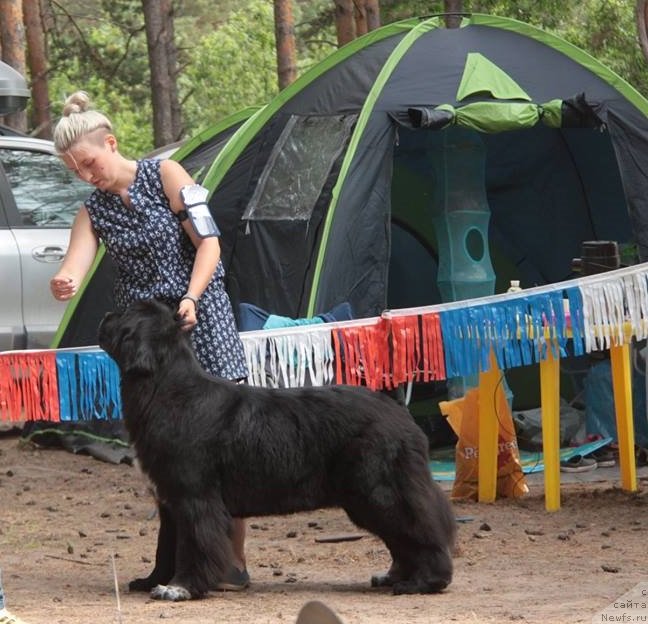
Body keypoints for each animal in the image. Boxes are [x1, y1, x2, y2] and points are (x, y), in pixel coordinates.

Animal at [100, 300, 456, 604]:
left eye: (126, 314)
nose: (105, 315)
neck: (166, 389)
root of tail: (400, 413)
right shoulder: (169, 500)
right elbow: (165, 546)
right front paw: (152, 581)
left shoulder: (194, 498)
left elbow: (193, 545)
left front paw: (179, 588)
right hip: (365, 498)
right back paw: (396, 577)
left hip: (379, 491)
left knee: (421, 528)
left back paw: (423, 581)